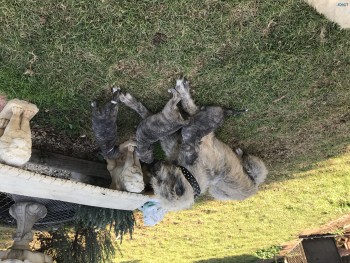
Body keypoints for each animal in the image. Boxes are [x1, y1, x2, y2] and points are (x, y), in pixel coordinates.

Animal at [120, 79, 268, 211]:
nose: (153, 165)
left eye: (161, 181)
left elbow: (150, 113)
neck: (190, 172)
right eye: (154, 180)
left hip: (257, 165)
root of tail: (254, 187)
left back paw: (240, 154)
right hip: (218, 190)